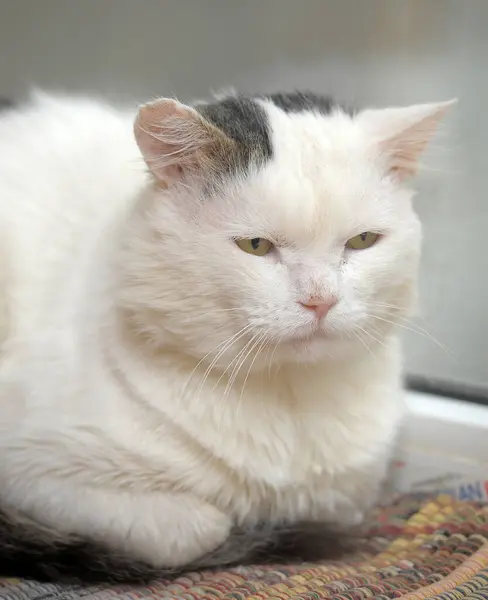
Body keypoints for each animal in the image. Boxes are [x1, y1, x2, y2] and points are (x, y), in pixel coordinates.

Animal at [0, 90, 452, 580]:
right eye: (255, 246)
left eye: (363, 241)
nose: (321, 300)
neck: (288, 397)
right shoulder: (30, 469)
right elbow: (196, 528)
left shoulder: (347, 495)